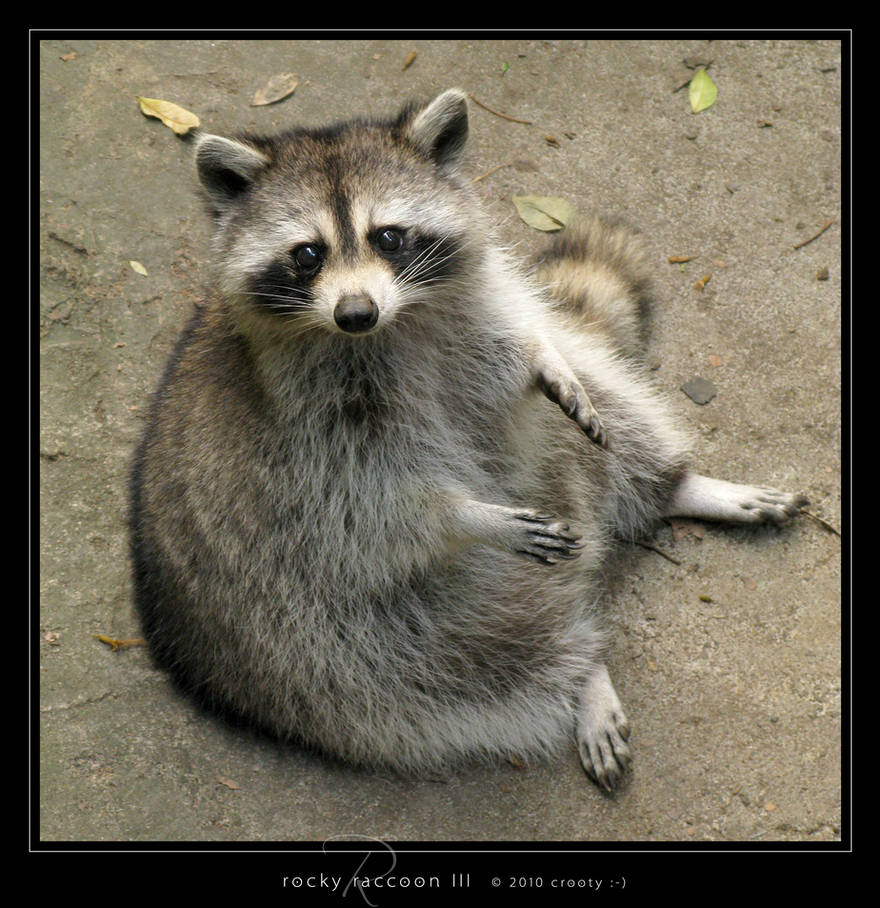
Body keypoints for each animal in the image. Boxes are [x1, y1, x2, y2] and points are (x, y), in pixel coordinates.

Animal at [129, 89, 806, 790]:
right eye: (307, 254)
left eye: (388, 236)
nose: (355, 313)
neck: (388, 330)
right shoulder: (302, 432)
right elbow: (375, 508)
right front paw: (465, 515)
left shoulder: (469, 318)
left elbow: (513, 359)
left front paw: (539, 361)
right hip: (341, 649)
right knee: (494, 655)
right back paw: (582, 666)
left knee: (610, 417)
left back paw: (678, 488)